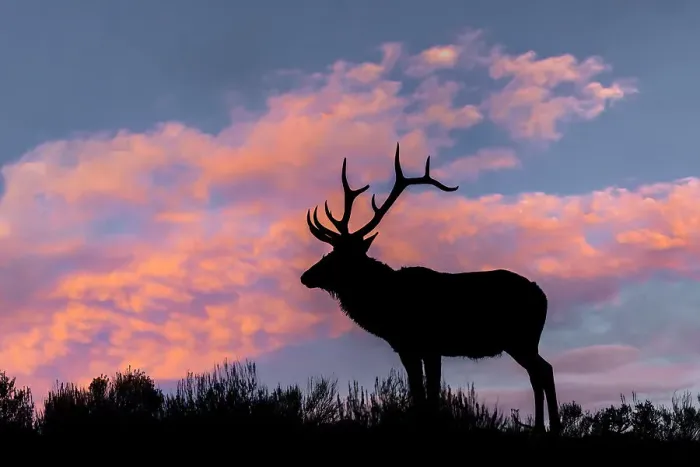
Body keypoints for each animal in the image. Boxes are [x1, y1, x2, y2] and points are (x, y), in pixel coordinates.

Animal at [300, 143, 561, 435]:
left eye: (339, 257)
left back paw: (550, 427)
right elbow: (418, 392)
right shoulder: (408, 348)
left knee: (543, 371)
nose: (306, 276)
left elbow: (431, 393)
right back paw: (544, 426)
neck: (384, 307)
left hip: (521, 338)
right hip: (523, 341)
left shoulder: (430, 344)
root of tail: (543, 296)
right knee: (540, 372)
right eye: (329, 252)